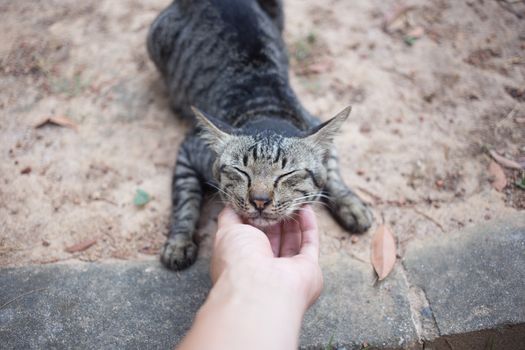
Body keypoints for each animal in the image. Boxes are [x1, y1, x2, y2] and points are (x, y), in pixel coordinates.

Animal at [145, 0, 370, 270]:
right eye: (241, 171)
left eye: (287, 174)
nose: (260, 200)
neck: (265, 110)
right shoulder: (188, 149)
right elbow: (185, 200)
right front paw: (179, 243)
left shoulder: (317, 125)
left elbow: (333, 175)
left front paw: (351, 205)